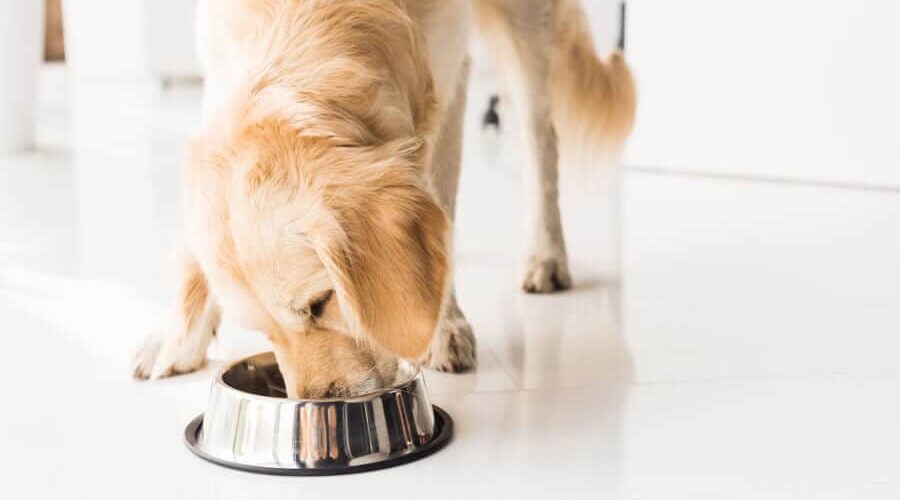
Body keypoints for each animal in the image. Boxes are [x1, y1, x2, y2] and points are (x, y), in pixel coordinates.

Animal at [134, 0, 636, 398]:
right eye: (262, 330)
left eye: (320, 304)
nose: (318, 403)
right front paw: (177, 336)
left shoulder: (447, 73)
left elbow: (440, 198)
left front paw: (442, 326)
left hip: (527, 26)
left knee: (539, 136)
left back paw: (546, 255)